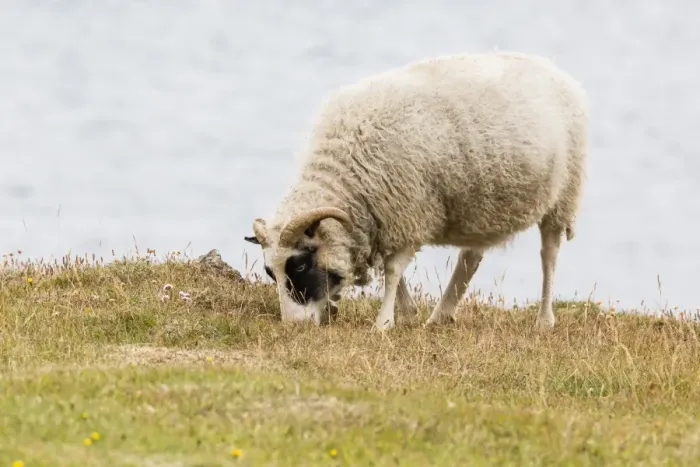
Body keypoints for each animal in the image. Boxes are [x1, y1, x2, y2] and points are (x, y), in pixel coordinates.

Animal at [244, 50, 588, 331]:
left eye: (300, 264)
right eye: (269, 272)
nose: (294, 326)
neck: (346, 172)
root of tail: (552, 69)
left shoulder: (409, 209)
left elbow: (393, 269)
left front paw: (384, 323)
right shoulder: (386, 217)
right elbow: (390, 268)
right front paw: (407, 313)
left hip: (563, 195)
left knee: (549, 255)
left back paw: (544, 319)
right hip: (480, 203)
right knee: (471, 256)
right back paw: (440, 316)